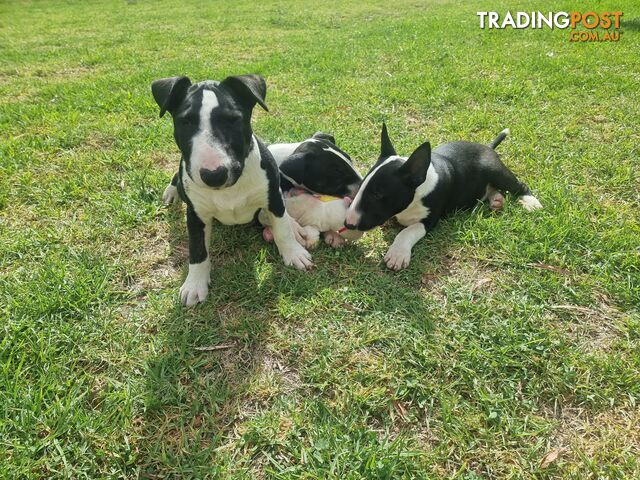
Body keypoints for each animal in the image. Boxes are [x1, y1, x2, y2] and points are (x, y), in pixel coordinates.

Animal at [155, 75, 316, 308]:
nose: (214, 175)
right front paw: (195, 285)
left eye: (233, 120)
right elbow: (197, 249)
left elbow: (282, 229)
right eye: (186, 122)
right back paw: (171, 191)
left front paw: (294, 254)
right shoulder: (195, 214)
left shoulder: (273, 198)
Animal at [342, 124, 544, 270]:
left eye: (378, 194)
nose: (348, 224)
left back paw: (531, 202)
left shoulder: (430, 220)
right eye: (361, 186)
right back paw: (496, 200)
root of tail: (487, 148)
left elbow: (407, 231)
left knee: (517, 185)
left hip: (495, 170)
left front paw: (398, 254)